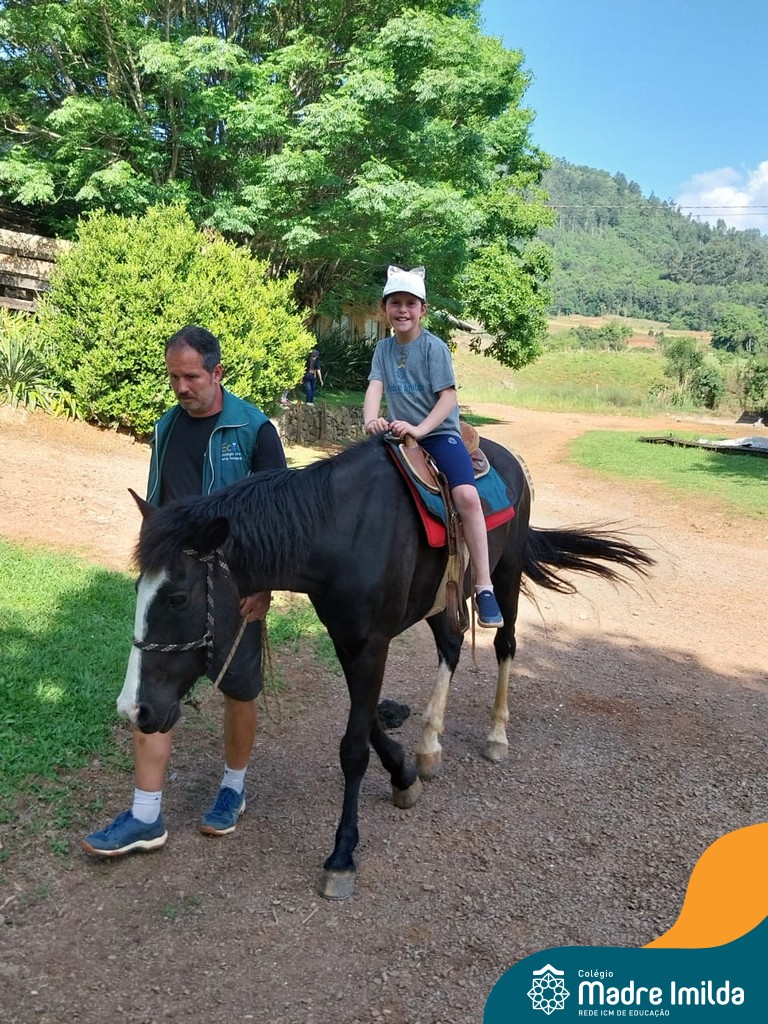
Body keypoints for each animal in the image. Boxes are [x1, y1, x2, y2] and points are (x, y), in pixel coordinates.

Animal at [117, 434, 652, 899]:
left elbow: (353, 746)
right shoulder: (348, 639)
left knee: (505, 644)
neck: (339, 531)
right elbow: (368, 717)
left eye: (178, 597)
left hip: (505, 573)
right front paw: (403, 775)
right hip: (443, 600)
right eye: (138, 590)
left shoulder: (372, 643)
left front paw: (342, 856)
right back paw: (430, 746)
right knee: (451, 648)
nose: (135, 710)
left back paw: (497, 735)